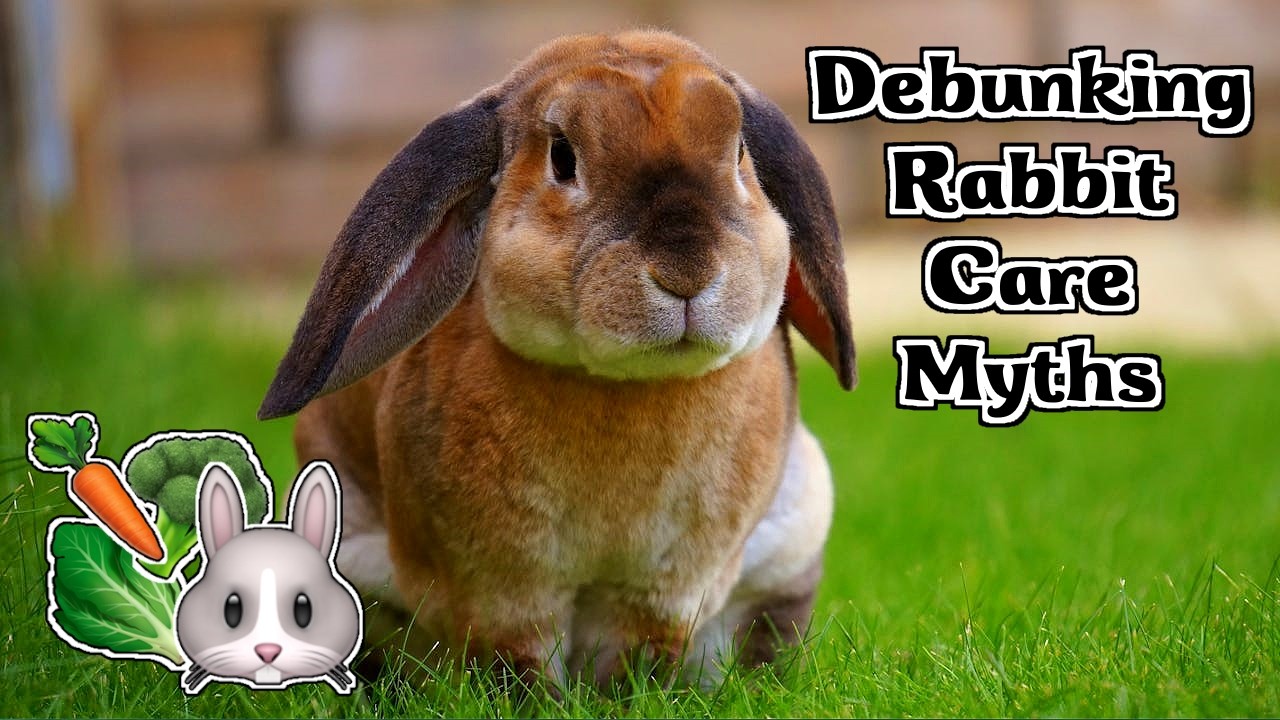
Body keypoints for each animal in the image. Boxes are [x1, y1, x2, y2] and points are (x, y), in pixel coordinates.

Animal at [258, 29, 854, 687]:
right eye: (563, 158)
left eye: (740, 150)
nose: (686, 272)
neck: (626, 386)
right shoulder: (502, 590)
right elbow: (518, 661)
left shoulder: (663, 591)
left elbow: (637, 657)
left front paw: (630, 697)